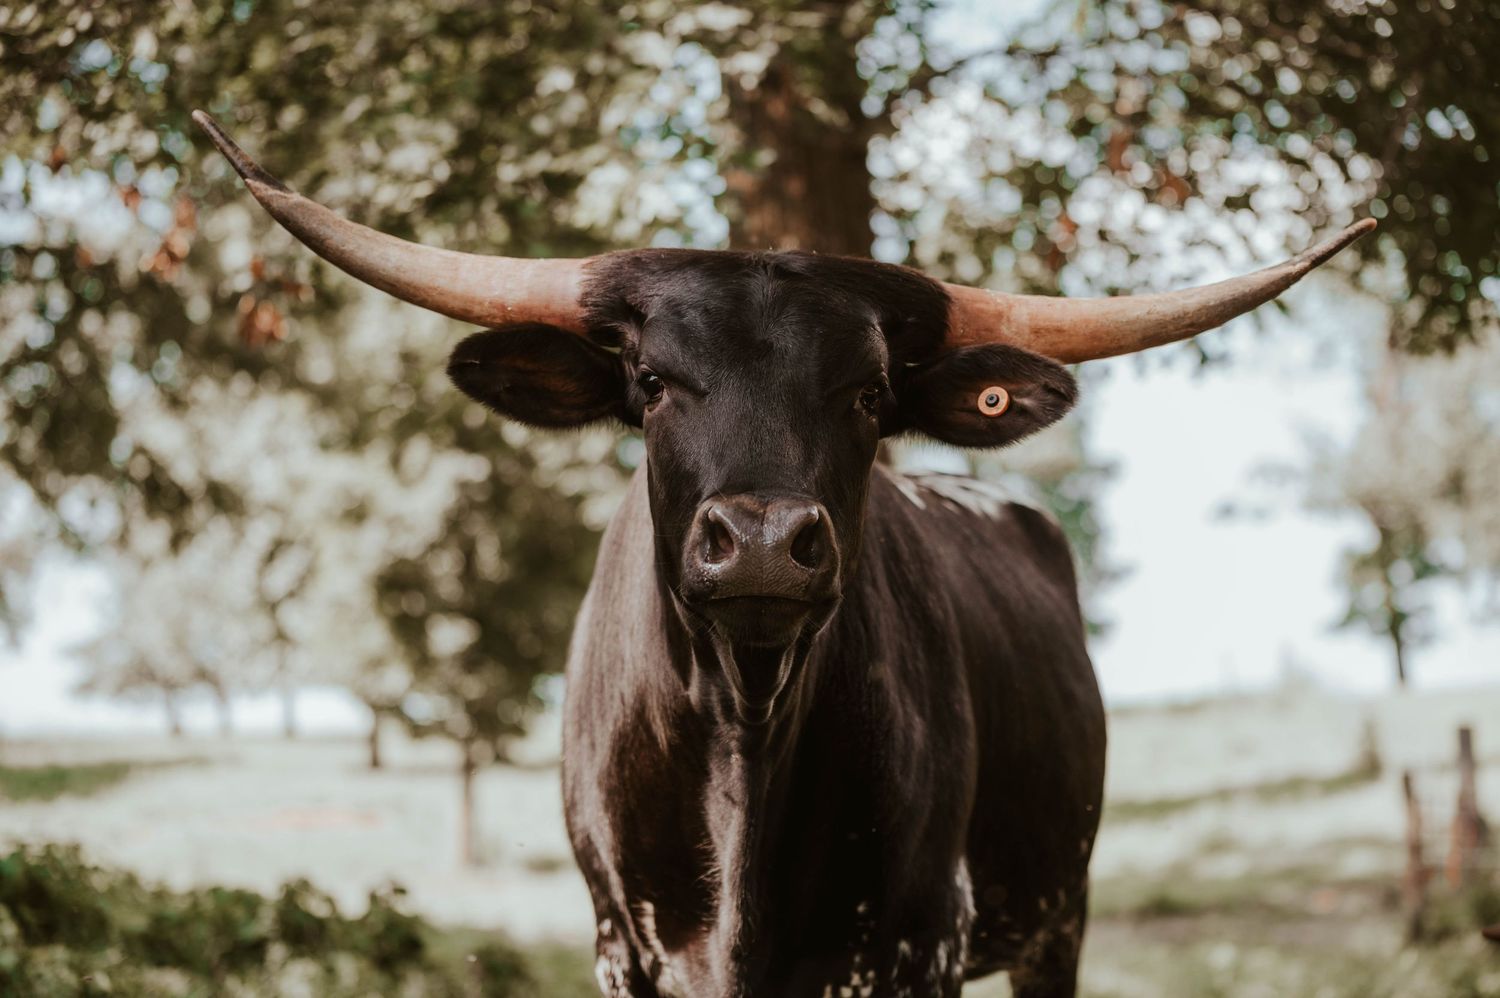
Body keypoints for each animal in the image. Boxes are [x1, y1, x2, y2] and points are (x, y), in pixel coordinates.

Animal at [195, 111, 1372, 998]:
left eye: (869, 393)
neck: (743, 749)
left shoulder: (921, 940)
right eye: (653, 383)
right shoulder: (622, 946)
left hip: (1058, 917)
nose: (763, 541)